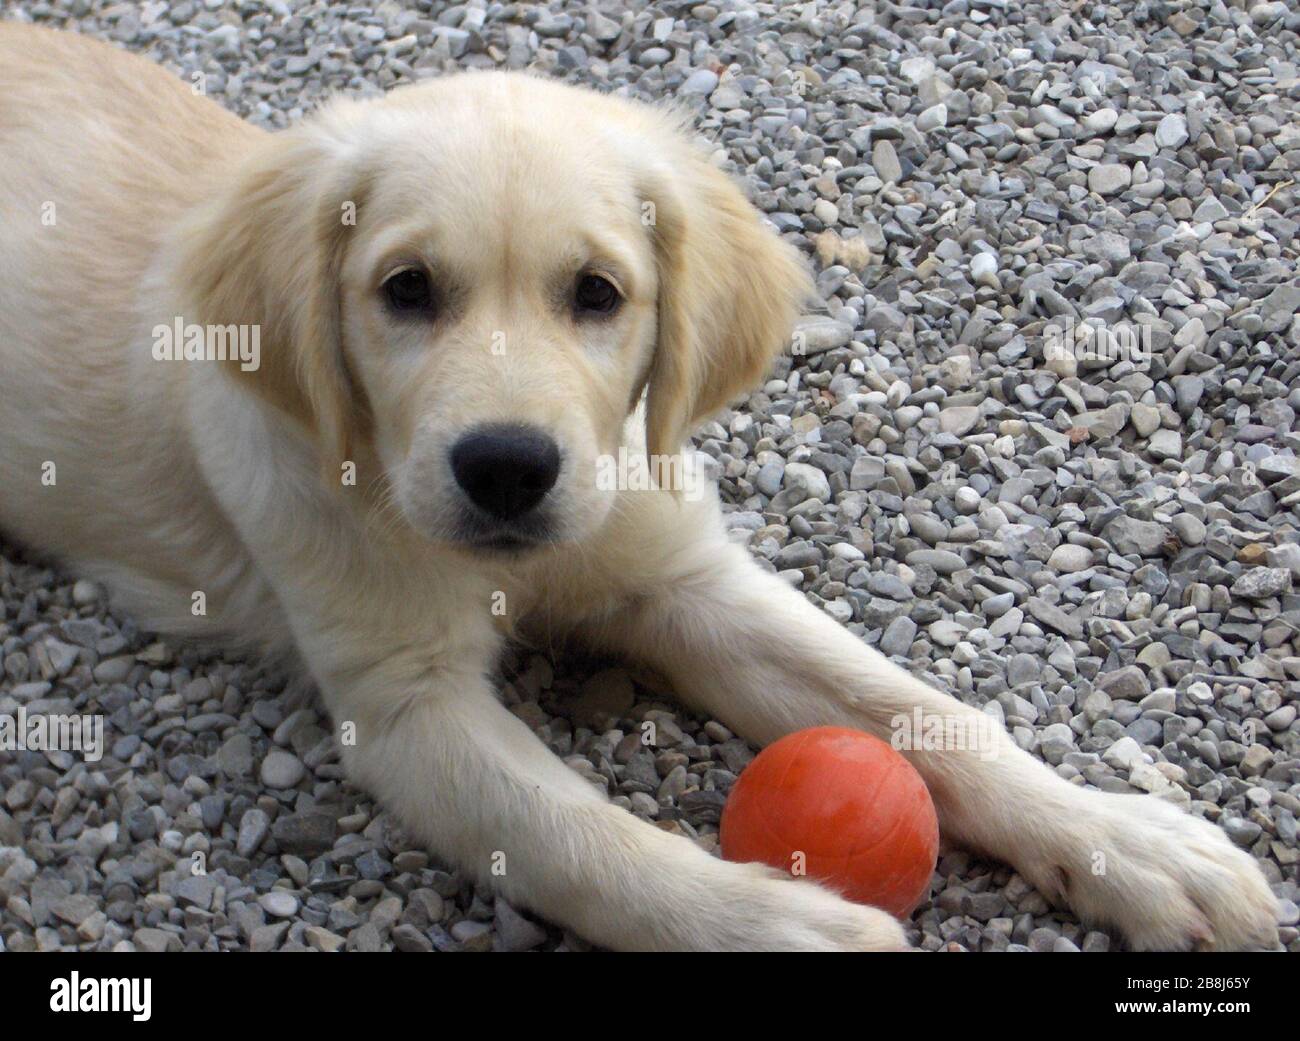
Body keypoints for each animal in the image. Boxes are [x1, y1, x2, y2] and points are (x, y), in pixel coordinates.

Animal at [0, 24, 1279, 951]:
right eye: (405, 290)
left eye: (597, 294)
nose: (506, 468)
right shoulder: (405, 704)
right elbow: (586, 841)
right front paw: (783, 926)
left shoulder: (686, 577)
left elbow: (921, 707)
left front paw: (1134, 845)